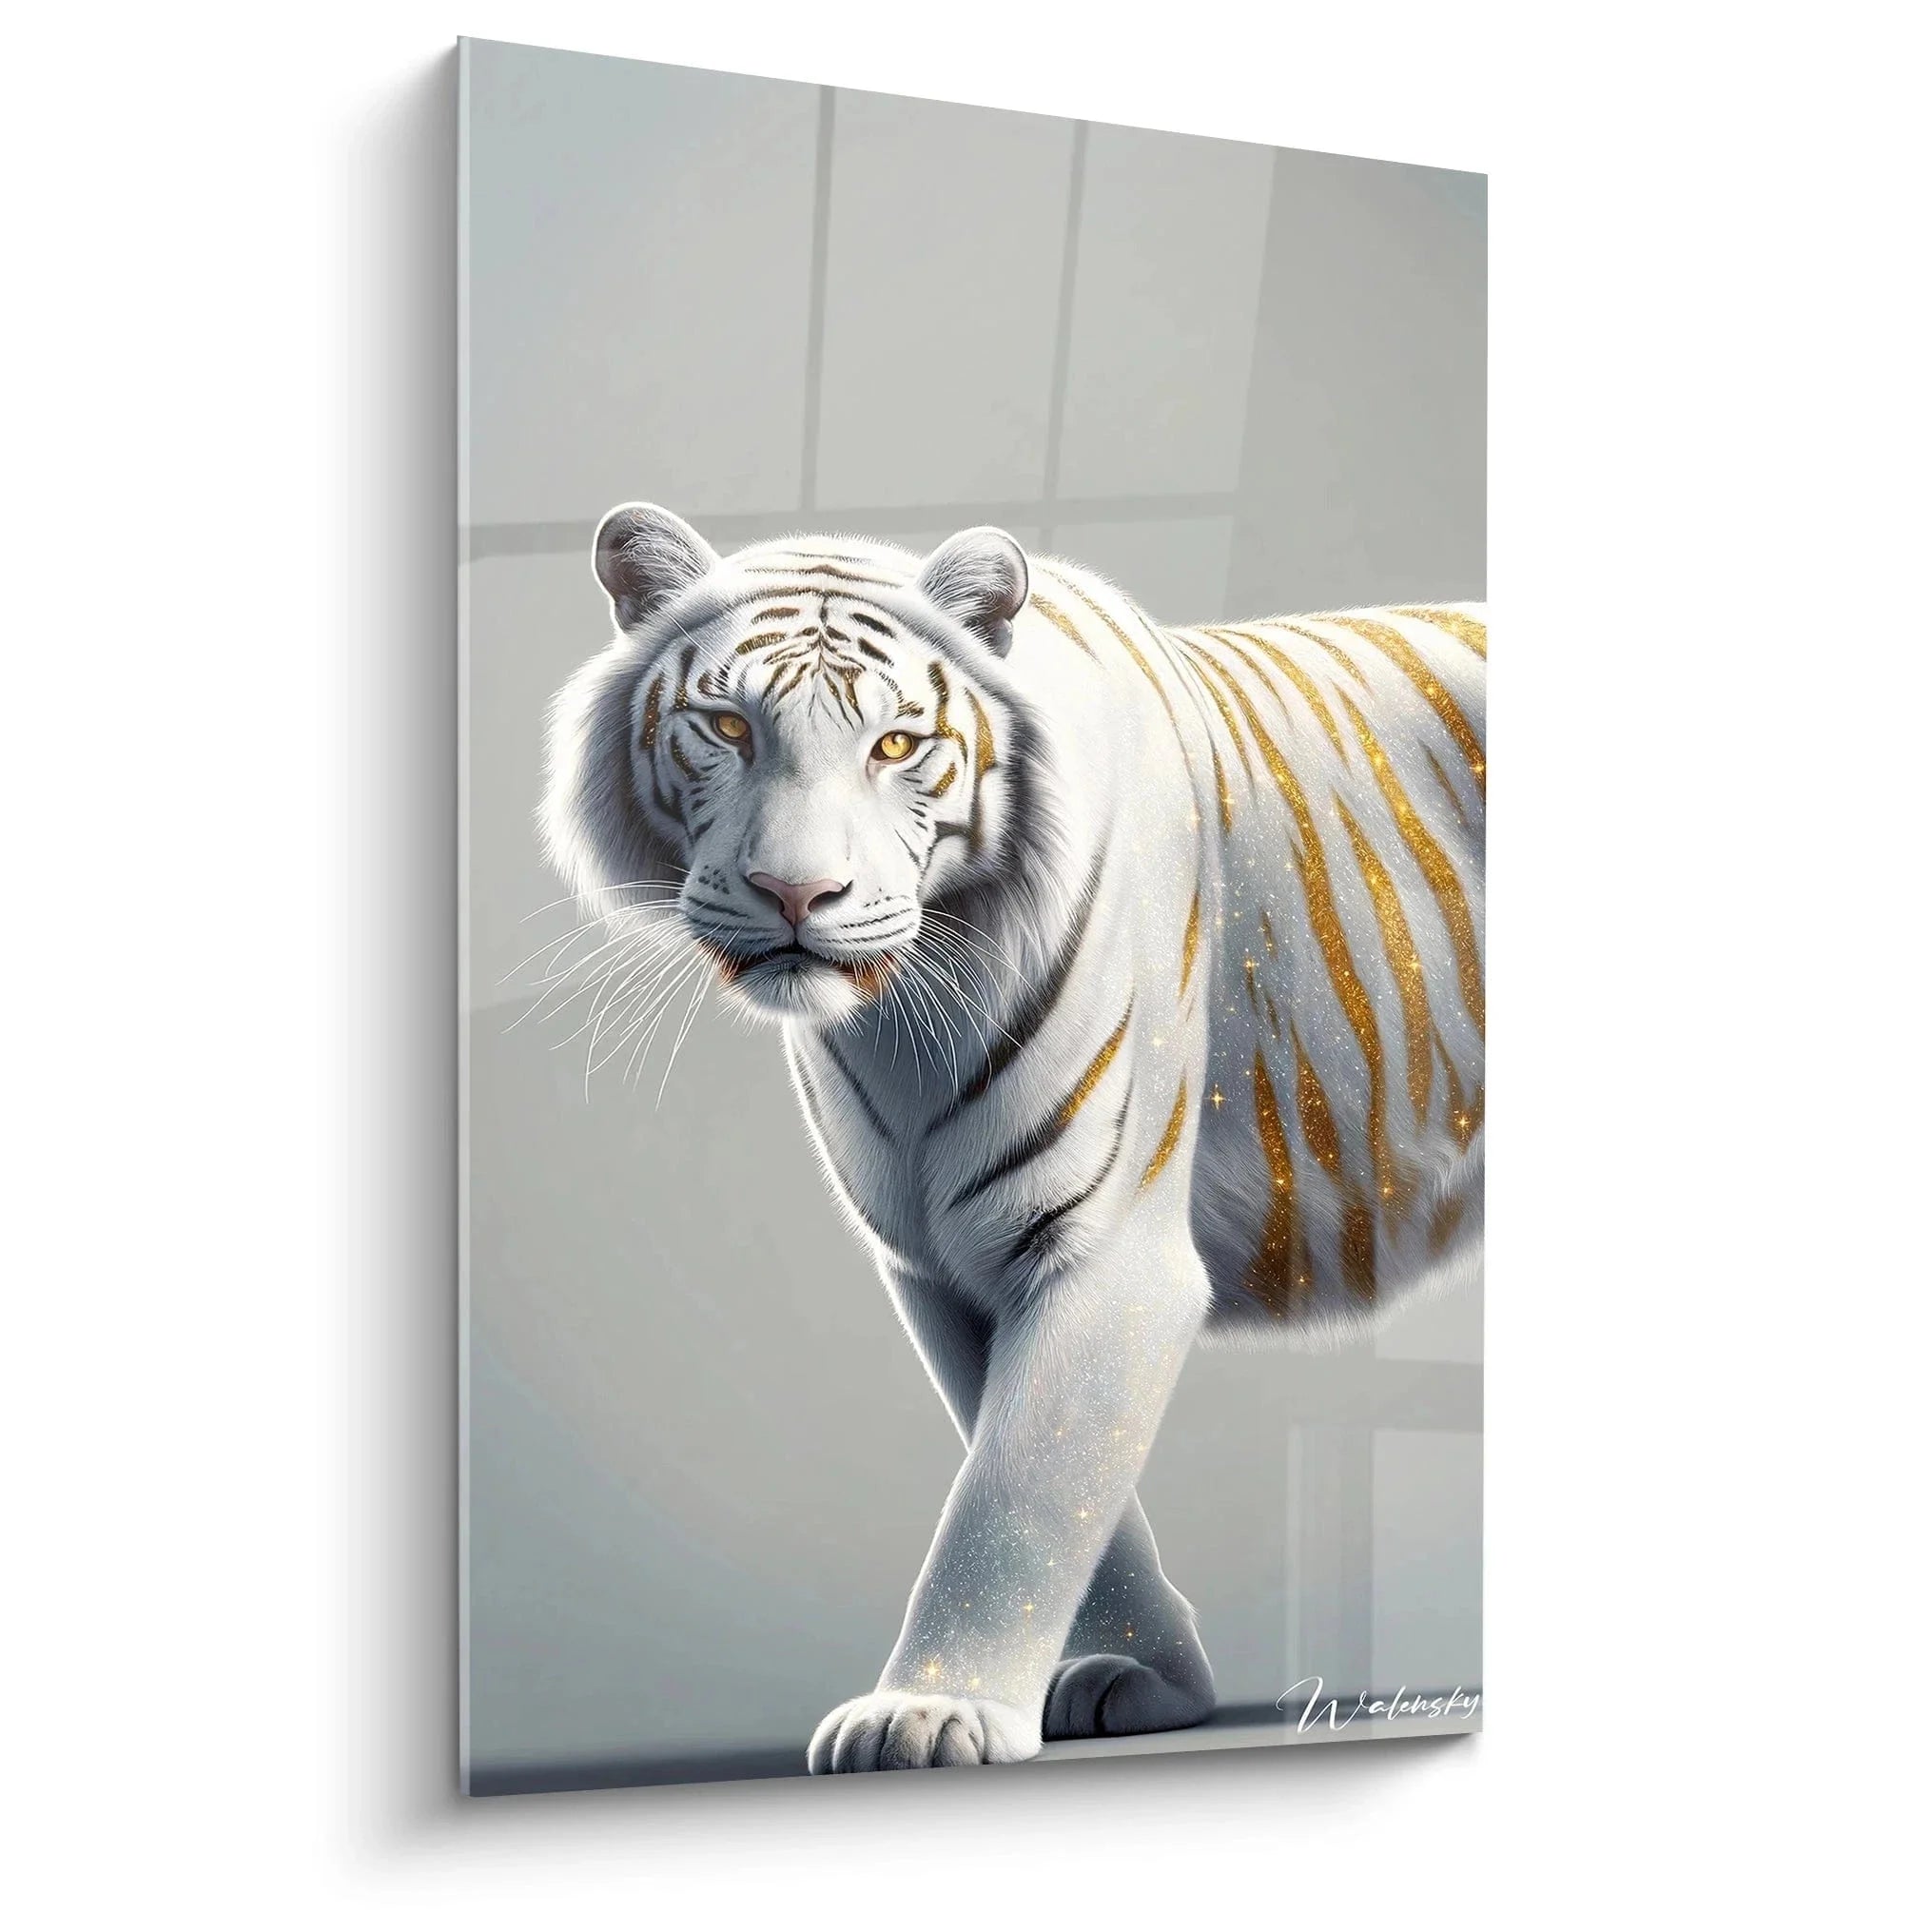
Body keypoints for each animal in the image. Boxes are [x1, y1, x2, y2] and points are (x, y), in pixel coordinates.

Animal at [541, 502, 1485, 1774]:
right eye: (728, 725)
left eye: (896, 744)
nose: (797, 894)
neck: (903, 1020)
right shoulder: (943, 1265)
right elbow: (1063, 1486)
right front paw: (1145, 1677)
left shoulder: (1109, 1251)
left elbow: (1015, 1491)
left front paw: (928, 1710)